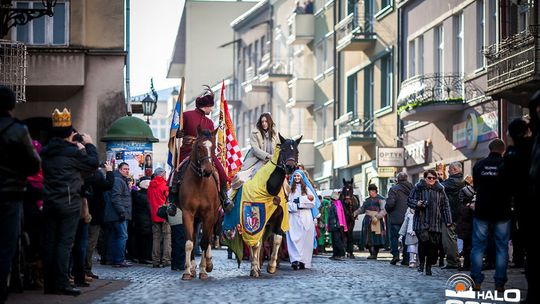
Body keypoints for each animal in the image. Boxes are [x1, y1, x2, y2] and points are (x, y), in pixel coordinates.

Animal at [177, 126, 219, 280]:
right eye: (199, 147)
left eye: (213, 147)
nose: (207, 171)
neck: (200, 183)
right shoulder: (188, 213)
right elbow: (190, 242)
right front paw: (188, 271)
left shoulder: (209, 214)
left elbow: (205, 242)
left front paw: (203, 270)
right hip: (196, 218)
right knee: (195, 238)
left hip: (212, 216)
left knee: (208, 238)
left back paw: (208, 263)